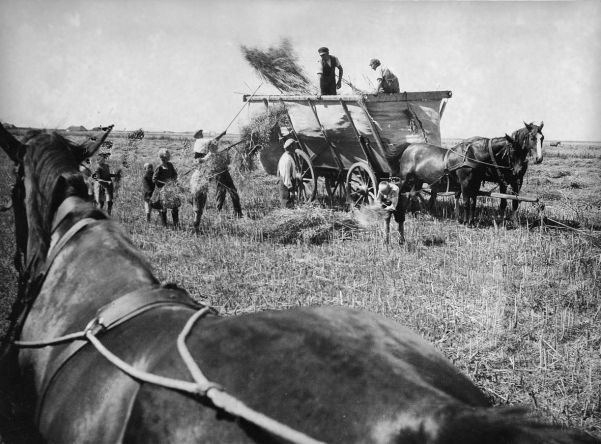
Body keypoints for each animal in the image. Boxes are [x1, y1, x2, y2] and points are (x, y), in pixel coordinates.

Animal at [384, 122, 544, 243]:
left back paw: (417, 213)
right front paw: (467, 222)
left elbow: (473, 203)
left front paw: (472, 221)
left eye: (542, 138)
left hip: (418, 180)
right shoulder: (466, 184)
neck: (473, 156)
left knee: (413, 194)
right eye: (513, 151)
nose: (518, 170)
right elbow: (467, 202)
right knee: (401, 192)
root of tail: (409, 147)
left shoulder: (476, 184)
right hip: (404, 178)